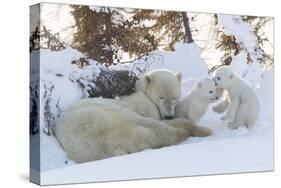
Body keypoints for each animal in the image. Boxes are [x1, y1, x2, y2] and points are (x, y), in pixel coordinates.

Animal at [54, 70, 210, 162]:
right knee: (153, 126)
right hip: (111, 113)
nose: (168, 116)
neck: (142, 93)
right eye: (161, 97)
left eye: (174, 97)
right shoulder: (145, 106)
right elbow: (156, 119)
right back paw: (194, 131)